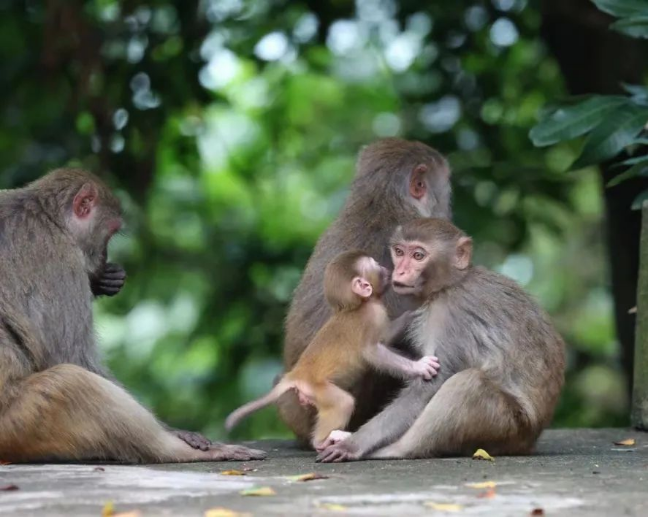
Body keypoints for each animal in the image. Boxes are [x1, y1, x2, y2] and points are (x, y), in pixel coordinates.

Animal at [0, 169, 266, 464]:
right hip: (20, 422)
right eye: (110, 232)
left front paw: (103, 280)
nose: (104, 257)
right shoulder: (59, 259)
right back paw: (176, 449)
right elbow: (68, 355)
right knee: (71, 381)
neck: (48, 218)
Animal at [224, 250, 440, 448]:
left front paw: (411, 315)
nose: (388, 269)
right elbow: (372, 352)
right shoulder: (372, 315)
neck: (357, 305)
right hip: (317, 388)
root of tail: (296, 374)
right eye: (375, 266)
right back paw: (323, 441)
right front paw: (419, 367)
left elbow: (386, 338)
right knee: (343, 403)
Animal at [316, 220, 564, 462]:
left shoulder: (451, 316)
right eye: (399, 252)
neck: (448, 285)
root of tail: (529, 442)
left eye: (418, 255)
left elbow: (429, 386)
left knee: (467, 385)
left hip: (509, 427)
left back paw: (397, 449)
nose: (400, 271)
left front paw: (354, 445)